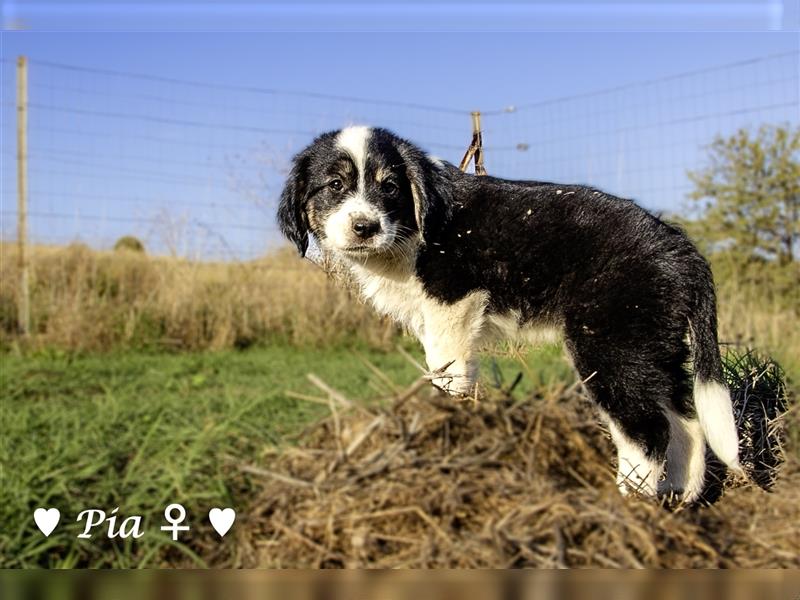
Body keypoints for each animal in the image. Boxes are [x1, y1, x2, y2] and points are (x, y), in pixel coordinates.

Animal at [278, 125, 740, 502]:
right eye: (334, 185)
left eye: (390, 187)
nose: (365, 228)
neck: (411, 231)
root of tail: (682, 249)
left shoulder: (452, 300)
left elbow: (448, 368)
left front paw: (449, 411)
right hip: (652, 343)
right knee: (686, 422)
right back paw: (681, 498)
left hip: (610, 343)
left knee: (648, 430)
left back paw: (630, 502)